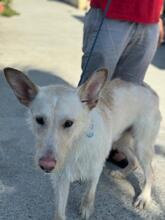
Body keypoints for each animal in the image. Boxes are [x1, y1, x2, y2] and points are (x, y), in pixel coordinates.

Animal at [3, 68, 161, 219]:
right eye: (39, 120)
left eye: (68, 123)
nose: (46, 165)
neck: (75, 145)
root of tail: (150, 90)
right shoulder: (61, 179)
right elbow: (59, 212)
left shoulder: (96, 169)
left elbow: (89, 193)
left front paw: (86, 208)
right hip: (119, 141)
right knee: (134, 161)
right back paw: (121, 173)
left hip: (141, 145)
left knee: (151, 172)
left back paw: (144, 197)